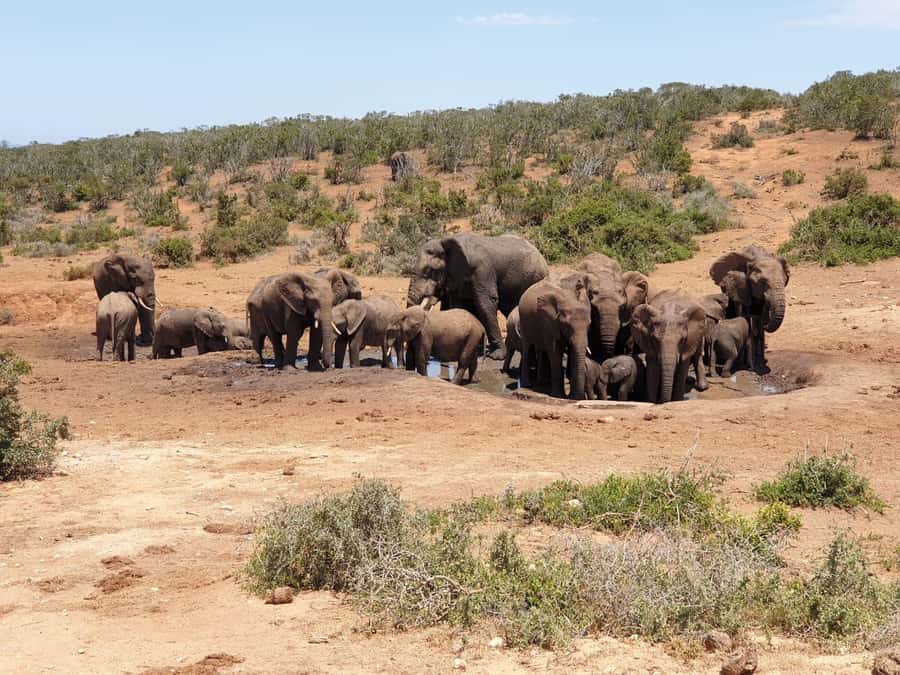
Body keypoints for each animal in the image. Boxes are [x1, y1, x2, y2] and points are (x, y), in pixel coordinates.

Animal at [406, 233, 548, 360]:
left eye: (429, 271)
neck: (445, 242)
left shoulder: (482, 270)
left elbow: (485, 304)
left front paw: (496, 356)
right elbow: (459, 306)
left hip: (534, 279)